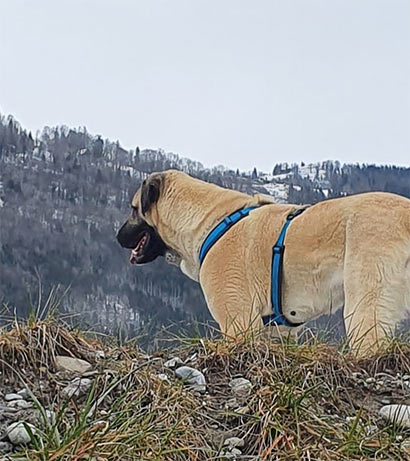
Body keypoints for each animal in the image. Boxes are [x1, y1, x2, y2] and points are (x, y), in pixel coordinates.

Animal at [117, 169, 410, 354]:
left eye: (133, 209)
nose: (118, 237)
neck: (211, 220)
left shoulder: (238, 322)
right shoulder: (279, 332)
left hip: (365, 306)